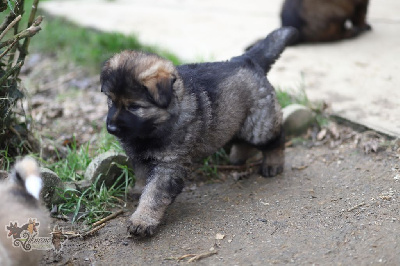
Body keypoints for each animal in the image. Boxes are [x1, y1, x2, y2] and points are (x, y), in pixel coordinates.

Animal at [101, 26, 298, 236]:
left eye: (134, 106)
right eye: (111, 100)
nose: (111, 128)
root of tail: (247, 59)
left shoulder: (169, 165)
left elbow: (154, 194)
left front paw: (142, 219)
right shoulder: (139, 157)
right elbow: (142, 177)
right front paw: (138, 191)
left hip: (259, 125)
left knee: (276, 138)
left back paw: (273, 164)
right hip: (238, 118)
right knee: (242, 138)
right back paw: (238, 158)